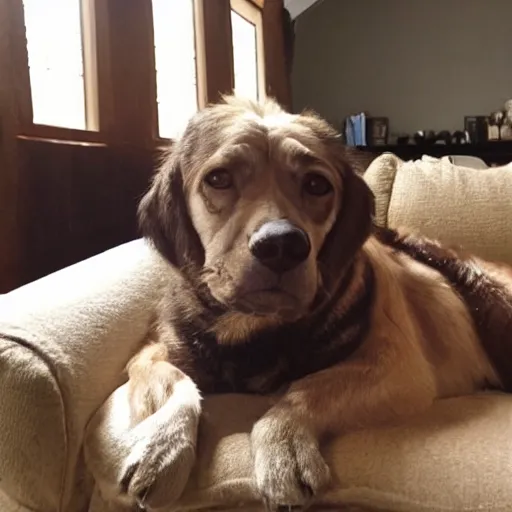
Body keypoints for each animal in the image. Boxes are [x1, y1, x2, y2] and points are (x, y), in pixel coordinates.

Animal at [84, 97, 512, 512]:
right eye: (219, 178)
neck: (254, 328)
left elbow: (308, 388)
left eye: (317, 184)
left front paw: (282, 448)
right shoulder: (151, 351)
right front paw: (161, 446)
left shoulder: (397, 367)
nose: (281, 245)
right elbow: (175, 383)